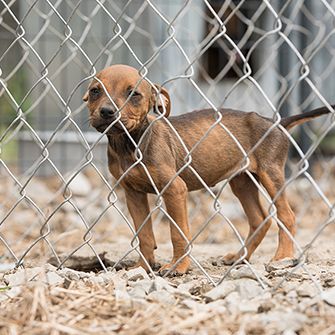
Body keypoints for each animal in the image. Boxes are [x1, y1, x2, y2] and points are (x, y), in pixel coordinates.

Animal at [84, 64, 334, 276]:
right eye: (95, 91)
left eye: (134, 94)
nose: (107, 112)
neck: (129, 143)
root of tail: (276, 123)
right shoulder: (133, 193)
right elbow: (144, 235)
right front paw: (143, 267)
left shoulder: (174, 189)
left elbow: (178, 233)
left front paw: (178, 267)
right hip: (242, 181)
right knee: (260, 219)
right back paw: (240, 257)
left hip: (270, 174)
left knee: (286, 216)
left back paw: (282, 257)